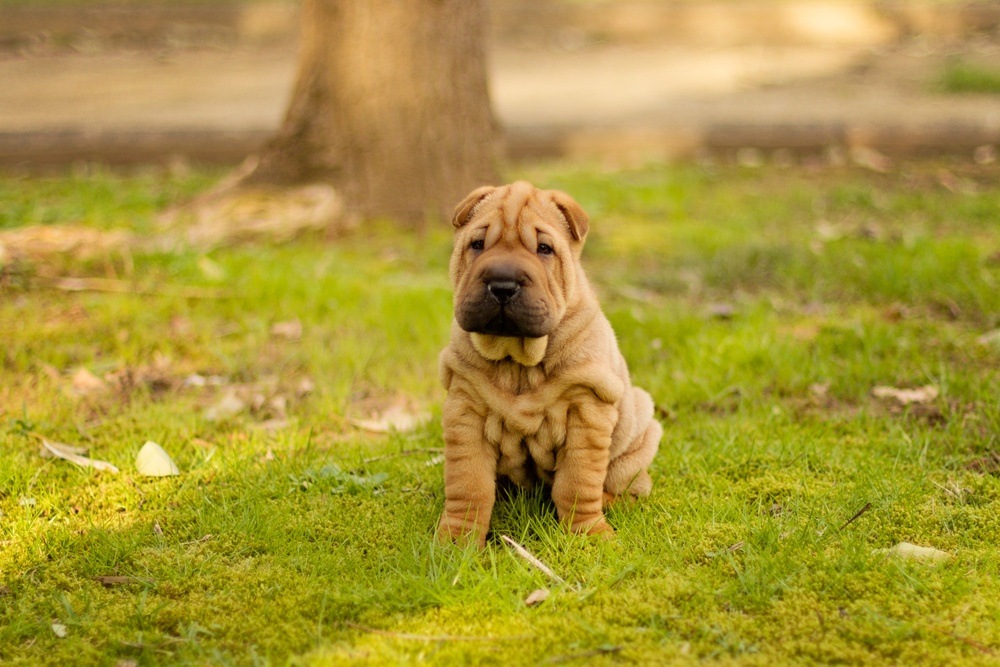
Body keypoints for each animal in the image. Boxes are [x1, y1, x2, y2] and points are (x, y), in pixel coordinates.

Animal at [440, 183, 664, 548]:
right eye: (477, 245)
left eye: (544, 249)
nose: (502, 284)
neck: (518, 360)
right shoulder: (465, 409)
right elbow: (468, 485)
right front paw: (457, 541)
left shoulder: (587, 410)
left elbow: (578, 483)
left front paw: (589, 533)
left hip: (640, 426)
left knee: (630, 484)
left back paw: (610, 502)